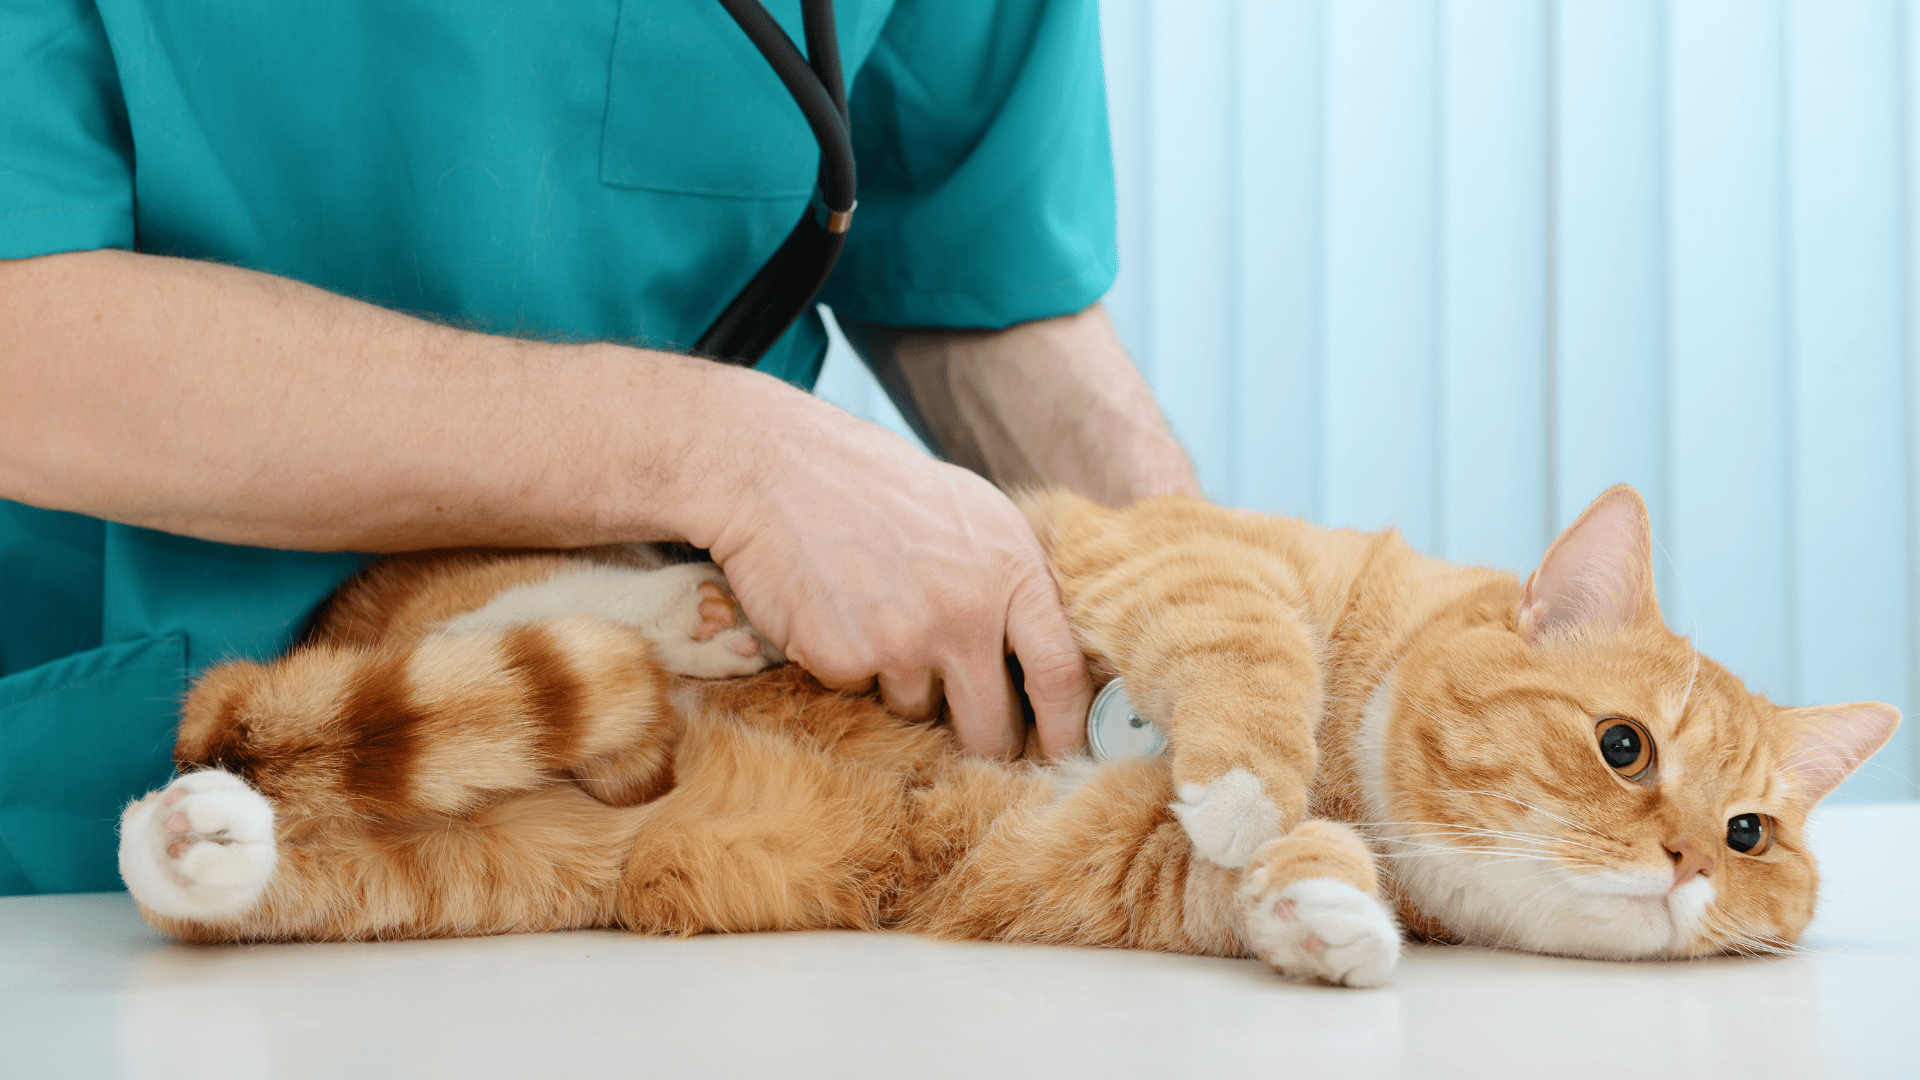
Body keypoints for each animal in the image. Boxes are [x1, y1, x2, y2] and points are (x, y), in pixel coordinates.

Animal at [116, 488, 1889, 983]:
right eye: (1623, 750)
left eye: (1751, 837)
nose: (1684, 863)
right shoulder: (1141, 551)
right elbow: (1247, 643)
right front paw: (1252, 788)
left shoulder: (1096, 863)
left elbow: (1257, 877)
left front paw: (1324, 912)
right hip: (528, 609)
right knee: (526, 626)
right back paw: (687, 619)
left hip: (538, 865)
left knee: (297, 848)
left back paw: (200, 837)